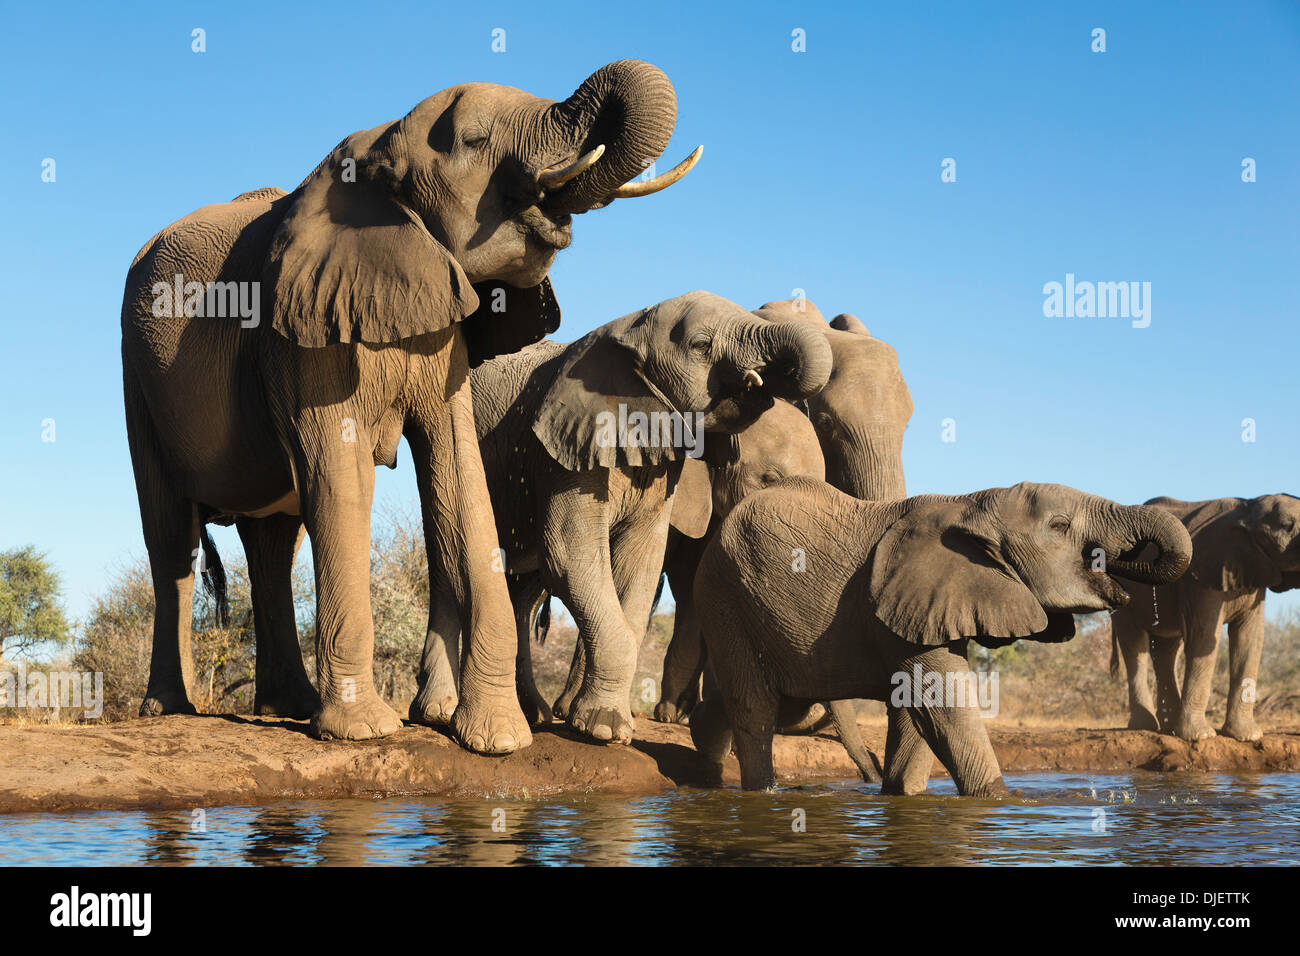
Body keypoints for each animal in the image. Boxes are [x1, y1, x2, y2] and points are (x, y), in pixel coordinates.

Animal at [119, 59, 702, 754]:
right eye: (473, 141)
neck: (378, 142)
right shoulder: (298, 333)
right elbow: (341, 479)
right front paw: (365, 732)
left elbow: (458, 475)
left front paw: (497, 739)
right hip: (136, 377)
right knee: (170, 540)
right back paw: (169, 710)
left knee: (273, 544)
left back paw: (288, 705)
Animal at [405, 291, 832, 749]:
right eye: (701, 345)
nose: (763, 379)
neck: (632, 327)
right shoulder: (568, 449)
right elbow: (571, 557)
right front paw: (604, 729)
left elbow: (638, 565)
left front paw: (598, 723)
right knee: (449, 562)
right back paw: (439, 712)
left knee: (524, 588)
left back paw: (535, 714)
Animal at [691, 478, 1196, 790]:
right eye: (1060, 526)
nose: (1127, 565)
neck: (974, 501)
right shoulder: (898, 604)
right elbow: (944, 708)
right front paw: (1001, 801)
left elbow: (918, 714)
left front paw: (901, 794)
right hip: (723, 594)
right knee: (755, 708)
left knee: (778, 703)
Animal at [1107, 496, 1300, 743]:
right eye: (1287, 526)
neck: (1247, 509)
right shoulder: (1201, 575)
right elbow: (1204, 638)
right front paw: (1201, 737)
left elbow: (1250, 640)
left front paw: (1248, 736)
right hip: (1121, 586)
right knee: (1134, 645)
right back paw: (1145, 726)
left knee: (1166, 649)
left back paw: (1168, 728)